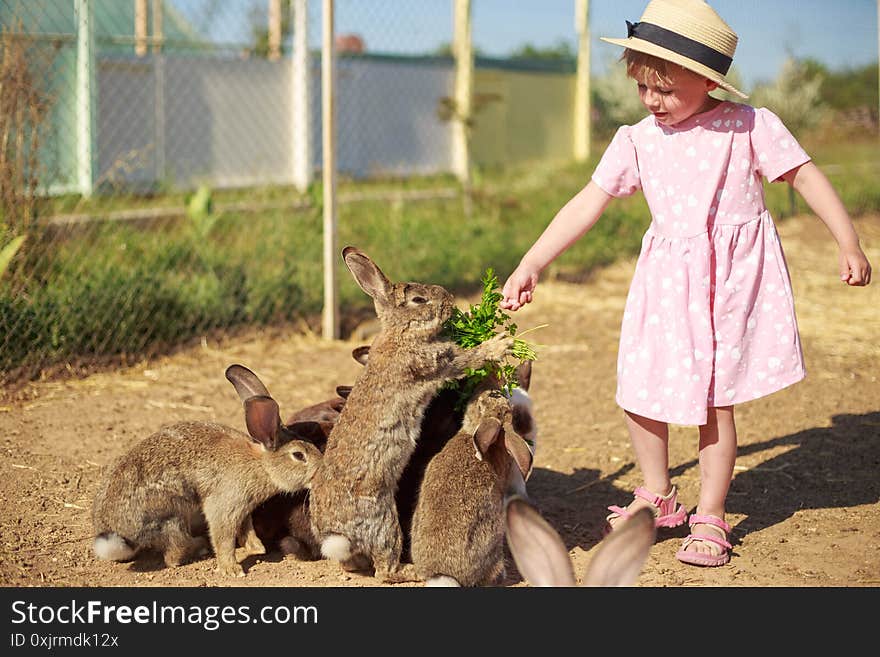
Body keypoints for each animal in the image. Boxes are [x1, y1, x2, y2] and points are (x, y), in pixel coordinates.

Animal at [91, 364, 324, 576]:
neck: (262, 465)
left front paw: (257, 548)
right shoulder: (225, 505)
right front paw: (232, 569)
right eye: (298, 455)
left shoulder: (243, 509)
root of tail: (118, 535)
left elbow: (245, 526)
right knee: (174, 554)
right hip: (171, 516)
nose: (320, 469)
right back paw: (200, 547)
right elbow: (223, 537)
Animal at [310, 245, 516, 580]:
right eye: (419, 300)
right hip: (384, 524)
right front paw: (500, 344)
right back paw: (413, 572)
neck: (402, 333)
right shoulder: (435, 364)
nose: (450, 301)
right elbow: (466, 358)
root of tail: (337, 535)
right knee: (385, 570)